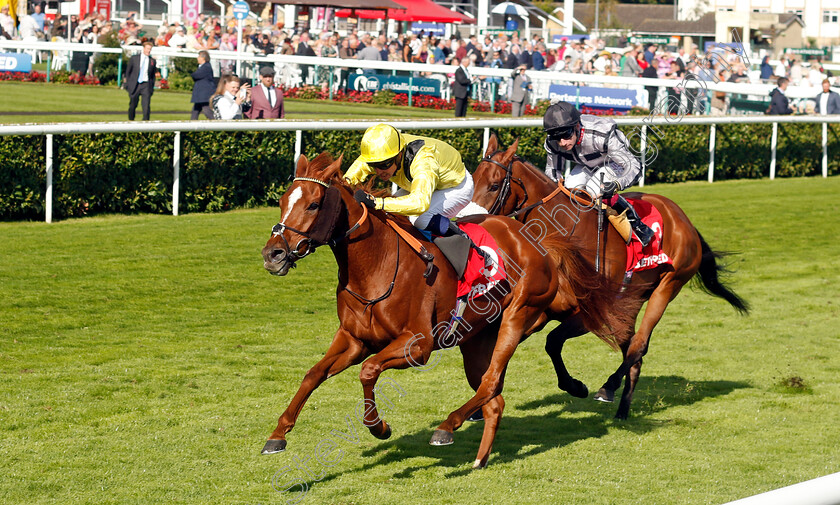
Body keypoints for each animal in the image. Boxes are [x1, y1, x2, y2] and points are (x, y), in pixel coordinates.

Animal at [262, 152, 636, 466]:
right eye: (281, 201)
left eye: (313, 204)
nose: (272, 254)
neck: (377, 264)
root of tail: (537, 240)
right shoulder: (354, 339)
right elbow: (313, 375)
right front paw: (277, 435)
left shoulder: (418, 345)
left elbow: (368, 371)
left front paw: (379, 427)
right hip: (476, 337)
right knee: (494, 398)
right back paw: (480, 458)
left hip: (518, 316)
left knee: (490, 384)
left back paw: (447, 427)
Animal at [470, 136, 752, 420]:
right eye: (473, 178)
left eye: (495, 185)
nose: (472, 221)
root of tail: (684, 219)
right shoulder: (540, 310)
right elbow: (505, 348)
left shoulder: (590, 313)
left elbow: (552, 342)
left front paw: (575, 386)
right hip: (631, 302)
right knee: (634, 354)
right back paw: (623, 410)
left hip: (668, 286)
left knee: (639, 344)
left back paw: (609, 387)